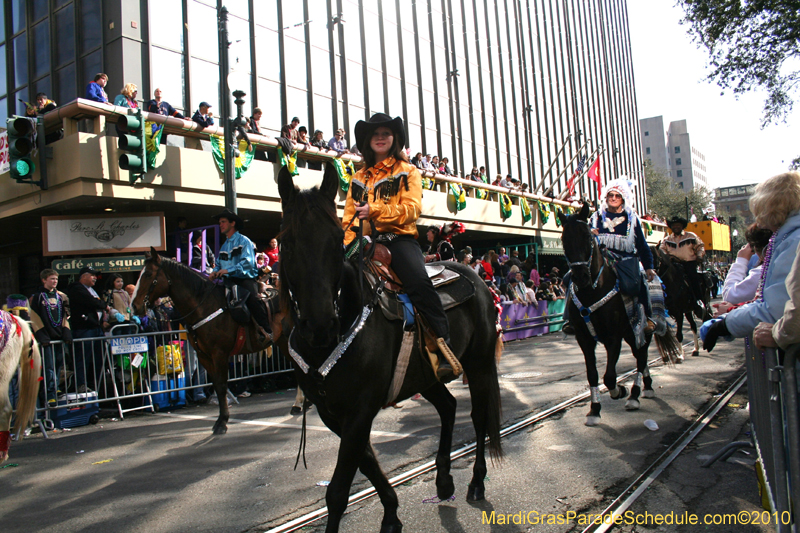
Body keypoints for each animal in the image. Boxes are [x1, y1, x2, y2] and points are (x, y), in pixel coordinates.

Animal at [130, 252, 282, 432]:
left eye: (148, 274)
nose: (134, 306)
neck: (203, 306)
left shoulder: (219, 354)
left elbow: (222, 385)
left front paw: (222, 422)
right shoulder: (204, 356)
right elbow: (217, 384)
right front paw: (221, 419)